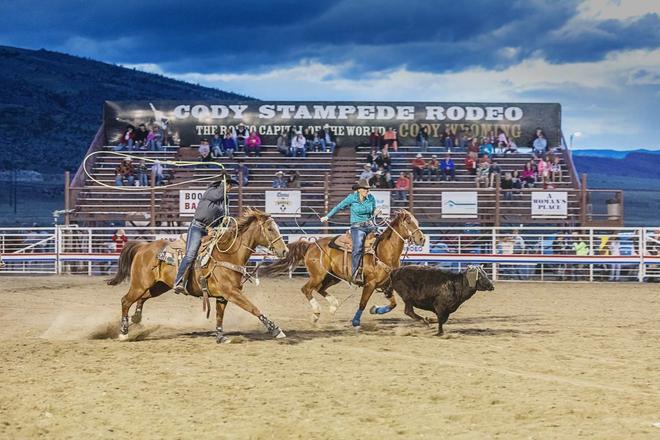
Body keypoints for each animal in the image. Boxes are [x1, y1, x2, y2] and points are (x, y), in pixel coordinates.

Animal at [107, 208, 288, 342]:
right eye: (270, 229)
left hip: (158, 286)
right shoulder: (231, 292)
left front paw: (221, 337)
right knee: (125, 300)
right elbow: (253, 308)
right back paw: (123, 332)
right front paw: (276, 330)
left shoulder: (222, 296)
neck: (228, 254)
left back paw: (136, 318)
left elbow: (219, 316)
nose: (284, 251)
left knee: (141, 299)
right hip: (140, 284)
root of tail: (143, 247)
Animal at [260, 210, 426, 330]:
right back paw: (316, 313)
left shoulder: (386, 285)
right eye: (409, 222)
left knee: (320, 289)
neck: (382, 252)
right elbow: (362, 303)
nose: (422, 239)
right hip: (318, 275)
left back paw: (333, 306)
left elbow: (393, 305)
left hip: (333, 277)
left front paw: (375, 310)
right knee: (306, 289)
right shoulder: (370, 284)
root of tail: (311, 245)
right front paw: (356, 322)